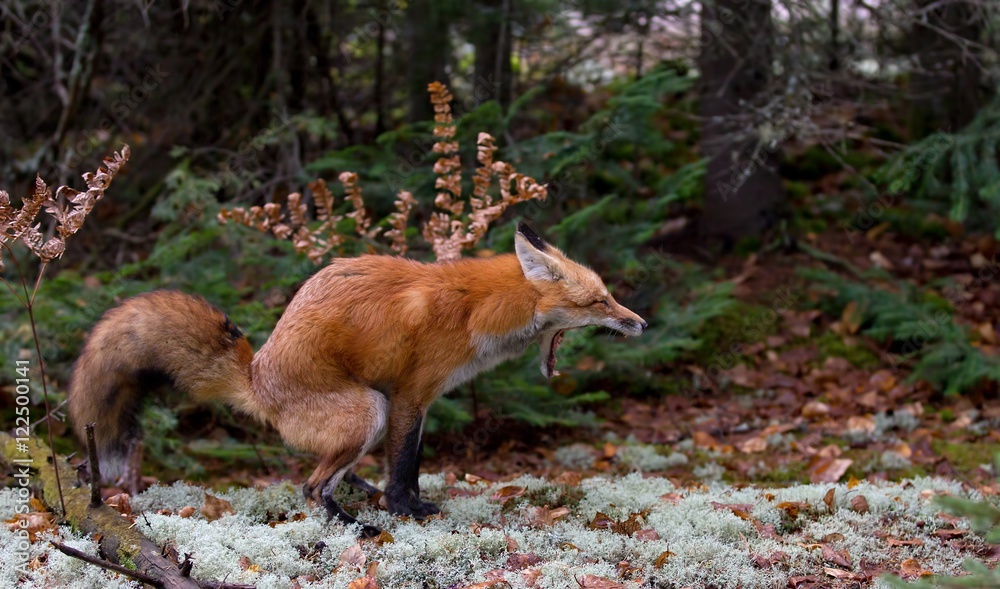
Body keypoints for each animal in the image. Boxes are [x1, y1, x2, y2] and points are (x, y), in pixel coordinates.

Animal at [68, 223, 646, 536]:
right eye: (600, 302)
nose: (640, 323)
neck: (475, 311)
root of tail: (256, 378)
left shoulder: (420, 403)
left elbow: (411, 463)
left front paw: (409, 503)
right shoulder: (409, 395)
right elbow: (405, 467)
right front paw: (404, 512)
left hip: (367, 416)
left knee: (328, 476)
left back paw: (357, 492)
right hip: (369, 411)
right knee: (309, 486)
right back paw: (354, 524)